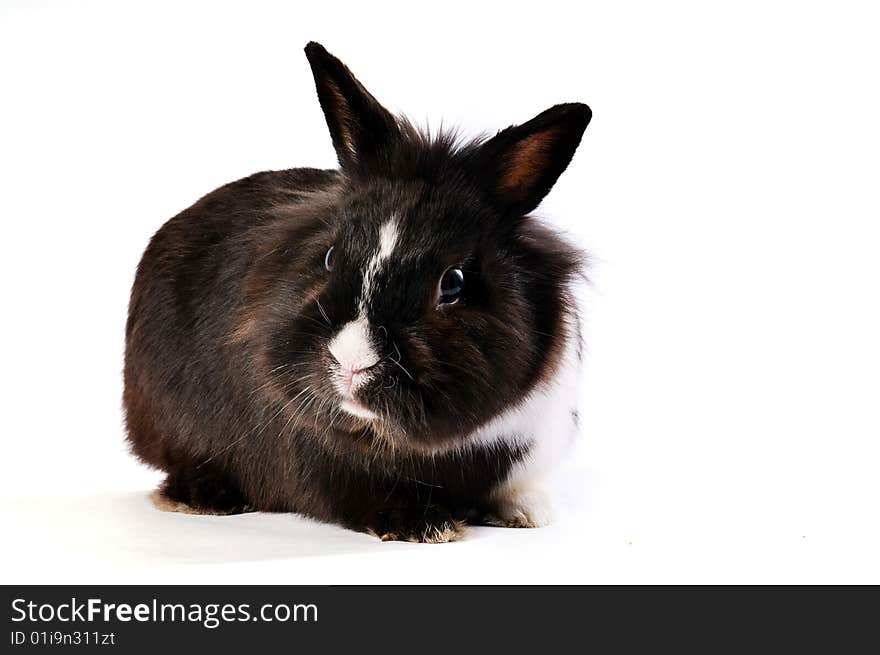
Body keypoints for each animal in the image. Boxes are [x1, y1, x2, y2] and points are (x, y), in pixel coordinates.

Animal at [124, 42, 592, 544]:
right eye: (330, 257)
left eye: (453, 283)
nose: (352, 365)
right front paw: (425, 525)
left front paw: (530, 513)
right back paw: (203, 498)